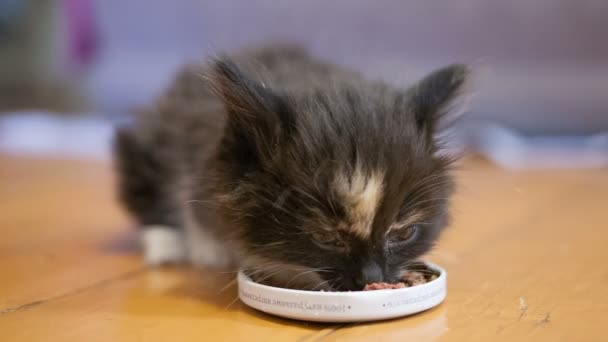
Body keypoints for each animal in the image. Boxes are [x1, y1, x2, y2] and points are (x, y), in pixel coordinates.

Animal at [114, 44, 468, 292]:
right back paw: (167, 245)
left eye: (404, 233)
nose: (371, 277)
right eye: (325, 237)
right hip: (144, 142)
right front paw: (207, 247)